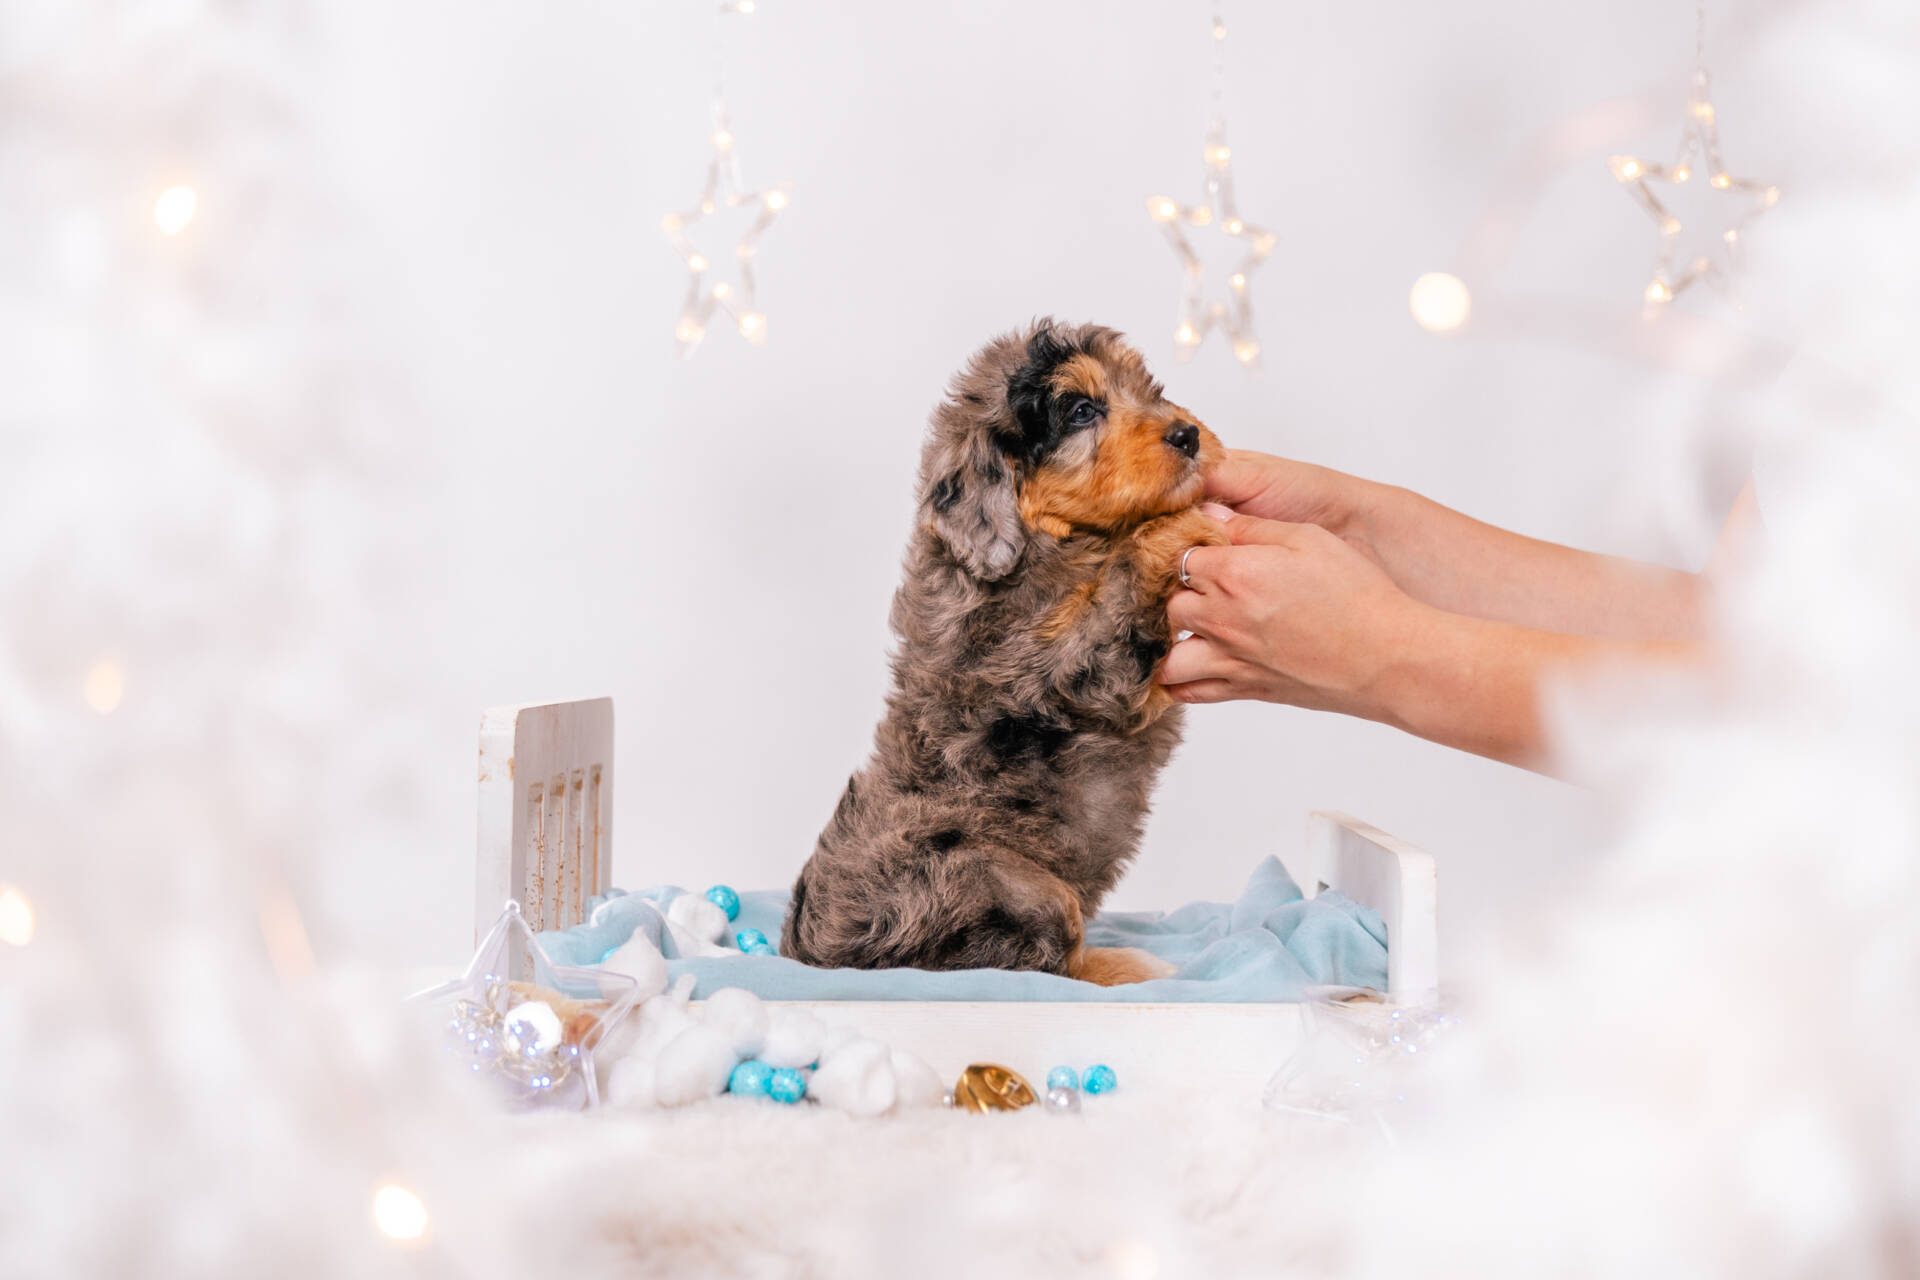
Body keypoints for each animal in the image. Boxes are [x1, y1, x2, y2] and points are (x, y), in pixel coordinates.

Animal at [780, 319, 1225, 986]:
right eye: (1082, 411)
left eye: (1151, 391)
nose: (1188, 434)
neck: (1054, 539)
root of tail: (809, 954)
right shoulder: (1051, 665)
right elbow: (1114, 607)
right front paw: (1175, 527)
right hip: (1009, 886)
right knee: (1040, 958)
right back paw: (1120, 964)